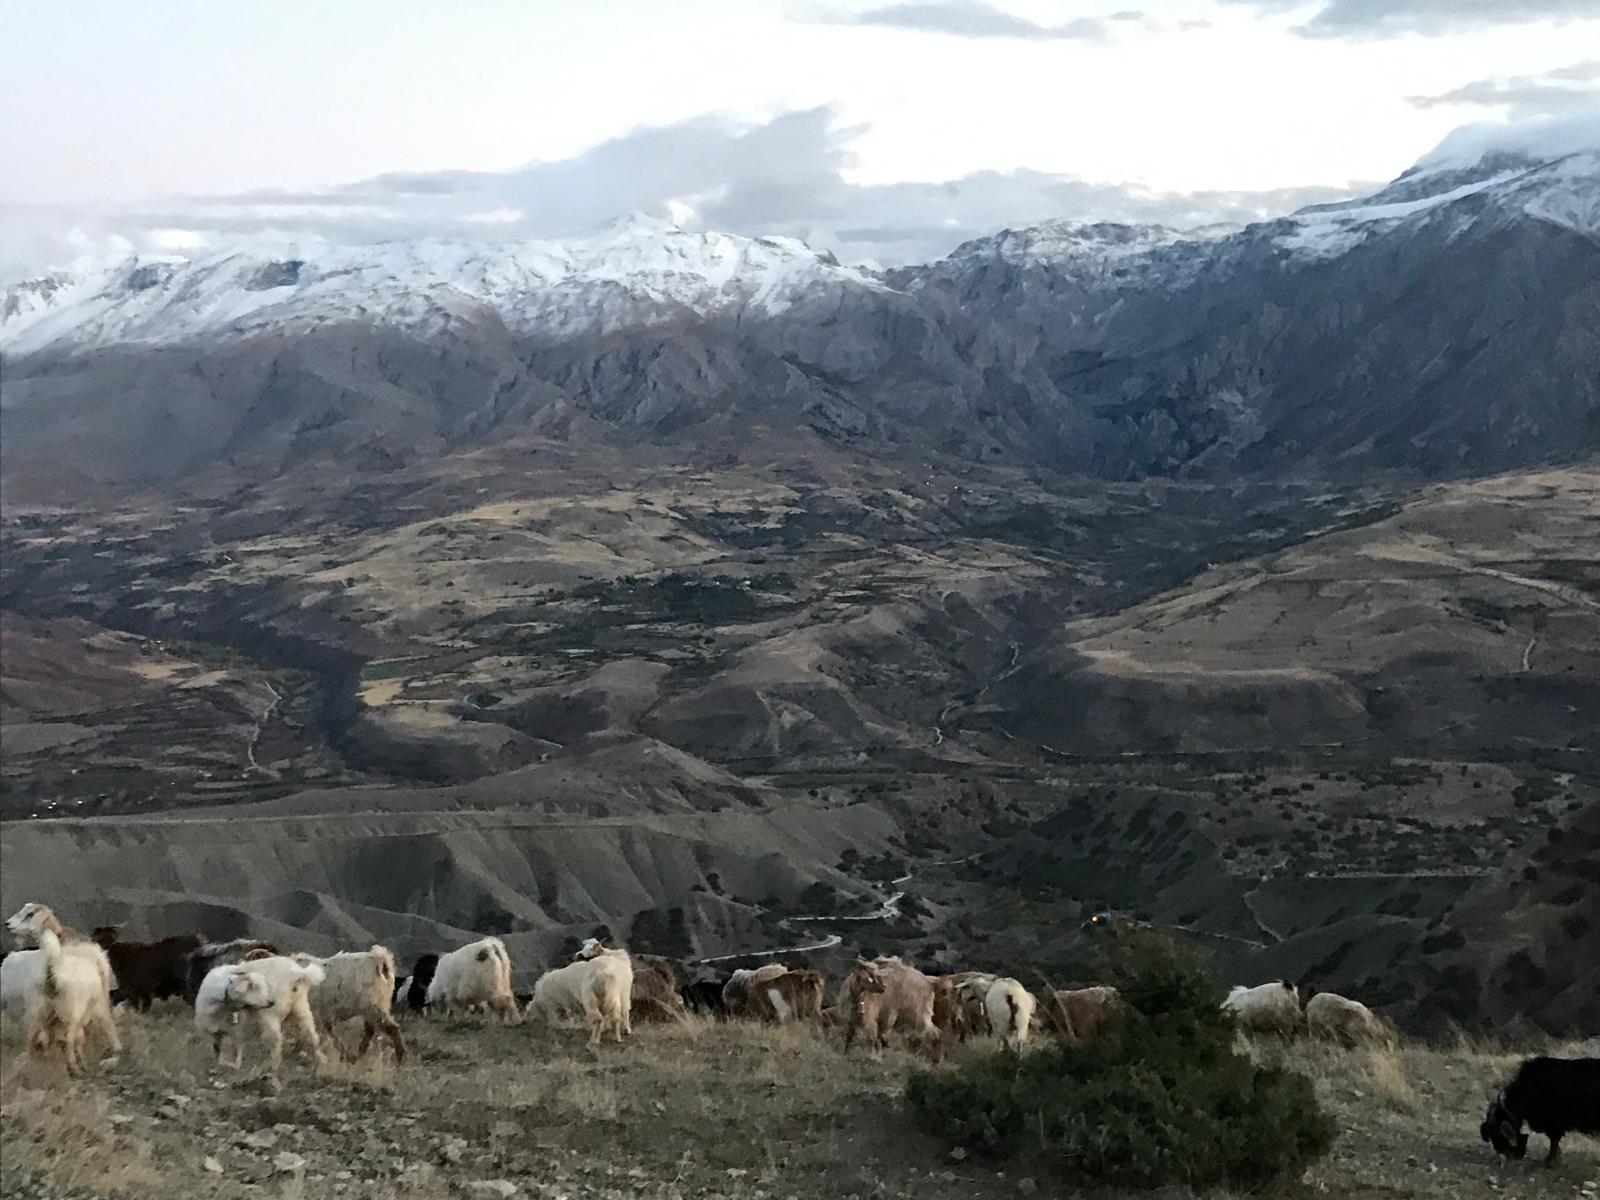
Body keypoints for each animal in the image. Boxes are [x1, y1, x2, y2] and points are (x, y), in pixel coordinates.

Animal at [195, 953, 326, 1075]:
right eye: (255, 988)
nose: (271, 1002)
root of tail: (295, 972)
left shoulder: (236, 1031)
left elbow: (234, 1051)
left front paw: (234, 1066)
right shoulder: (213, 1032)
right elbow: (219, 1053)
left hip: (269, 1016)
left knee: (277, 1041)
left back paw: (271, 1068)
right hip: (300, 1007)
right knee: (313, 1036)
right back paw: (321, 1061)